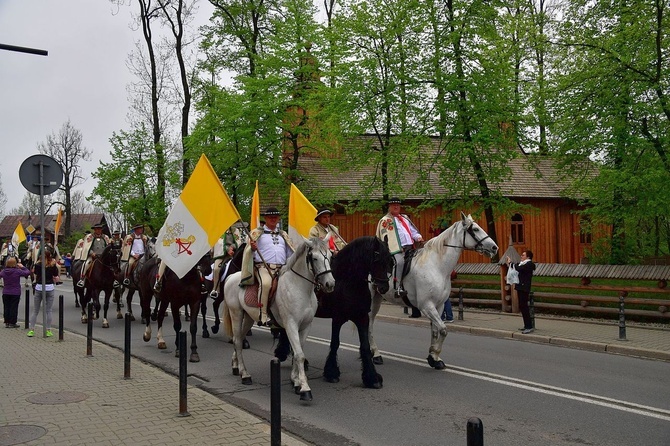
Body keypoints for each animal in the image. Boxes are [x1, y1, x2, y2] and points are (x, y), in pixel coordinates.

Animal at [223, 237, 336, 400]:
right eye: (314, 258)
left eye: (331, 256)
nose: (330, 284)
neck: (299, 288)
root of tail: (232, 277)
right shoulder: (291, 325)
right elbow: (299, 355)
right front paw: (305, 389)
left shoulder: (305, 326)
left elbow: (297, 352)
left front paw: (296, 382)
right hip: (236, 314)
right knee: (237, 342)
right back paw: (245, 375)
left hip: (249, 318)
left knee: (239, 339)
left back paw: (235, 365)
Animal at [276, 235, 396, 388]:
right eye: (376, 258)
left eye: (390, 261)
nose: (383, 287)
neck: (348, 281)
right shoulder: (337, 318)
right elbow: (335, 343)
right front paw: (331, 372)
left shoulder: (362, 317)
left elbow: (365, 346)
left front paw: (372, 377)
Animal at [368, 213, 498, 370]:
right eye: (475, 229)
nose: (494, 247)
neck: (436, 266)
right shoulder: (426, 306)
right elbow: (443, 329)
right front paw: (434, 354)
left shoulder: (439, 305)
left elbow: (436, 331)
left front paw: (434, 358)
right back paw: (375, 355)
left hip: (377, 299)